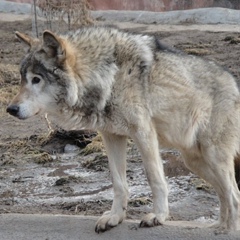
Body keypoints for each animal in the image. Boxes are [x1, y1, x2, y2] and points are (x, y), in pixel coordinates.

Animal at [6, 26, 239, 232]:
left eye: (36, 79)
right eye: (22, 79)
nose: (10, 109)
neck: (108, 76)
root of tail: (234, 83)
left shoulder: (143, 133)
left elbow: (154, 177)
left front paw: (158, 216)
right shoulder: (111, 136)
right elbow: (118, 183)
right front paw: (115, 217)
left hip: (213, 158)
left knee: (234, 195)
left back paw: (228, 230)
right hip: (195, 163)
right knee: (224, 195)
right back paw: (219, 227)